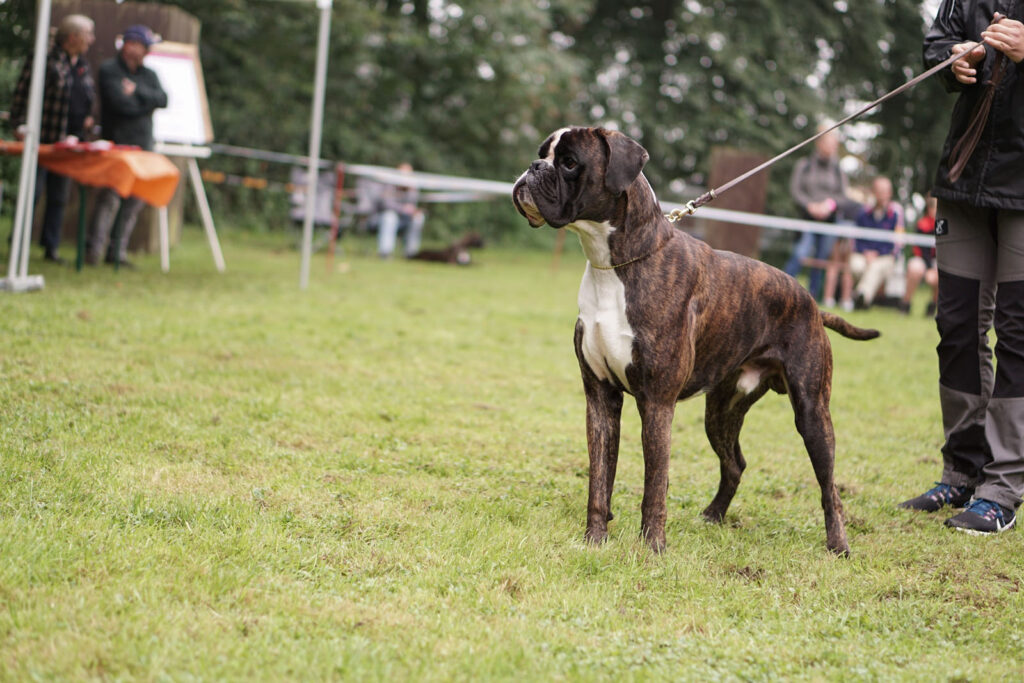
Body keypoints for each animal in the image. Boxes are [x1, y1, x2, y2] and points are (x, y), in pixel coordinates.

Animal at [512, 126, 880, 557]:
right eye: (542, 153)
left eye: (569, 162)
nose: (533, 167)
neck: (617, 264)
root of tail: (812, 304)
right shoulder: (600, 397)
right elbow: (599, 479)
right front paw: (595, 539)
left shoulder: (656, 403)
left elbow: (655, 483)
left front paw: (652, 547)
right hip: (721, 411)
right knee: (735, 463)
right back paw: (713, 515)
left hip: (811, 412)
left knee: (829, 487)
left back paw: (838, 545)